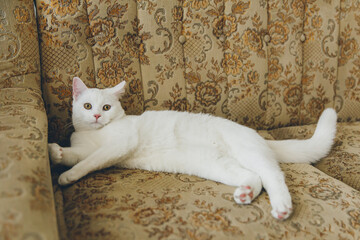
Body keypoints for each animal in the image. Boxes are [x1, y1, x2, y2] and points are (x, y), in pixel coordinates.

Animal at [47, 77, 338, 219]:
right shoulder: (86, 147)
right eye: (87, 106)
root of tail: (257, 135)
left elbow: (89, 162)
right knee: (254, 177)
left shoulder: (118, 145)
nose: (97, 116)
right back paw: (245, 194)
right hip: (219, 166)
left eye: (106, 107)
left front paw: (68, 175)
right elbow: (77, 155)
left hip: (250, 154)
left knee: (274, 176)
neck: (96, 134)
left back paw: (282, 207)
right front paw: (56, 153)